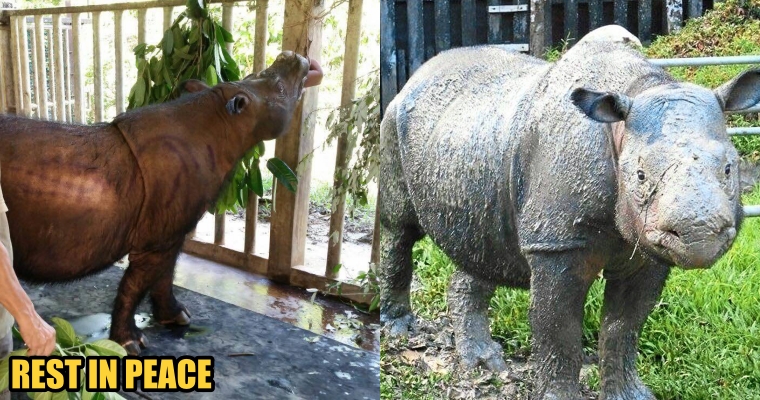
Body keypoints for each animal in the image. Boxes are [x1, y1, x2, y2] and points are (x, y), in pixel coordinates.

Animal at [0, 51, 310, 355]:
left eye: (253, 74)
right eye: (281, 89)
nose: (293, 56)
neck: (221, 121)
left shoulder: (172, 231)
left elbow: (165, 275)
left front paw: (178, 318)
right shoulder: (155, 239)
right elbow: (136, 284)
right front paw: (130, 344)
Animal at [379, 28, 760, 399]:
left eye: (729, 168)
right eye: (639, 175)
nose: (699, 233)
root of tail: (415, 77)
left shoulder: (648, 247)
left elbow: (624, 327)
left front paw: (630, 395)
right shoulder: (557, 244)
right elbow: (559, 332)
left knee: (485, 248)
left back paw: (483, 361)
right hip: (394, 121)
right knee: (399, 228)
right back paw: (399, 328)